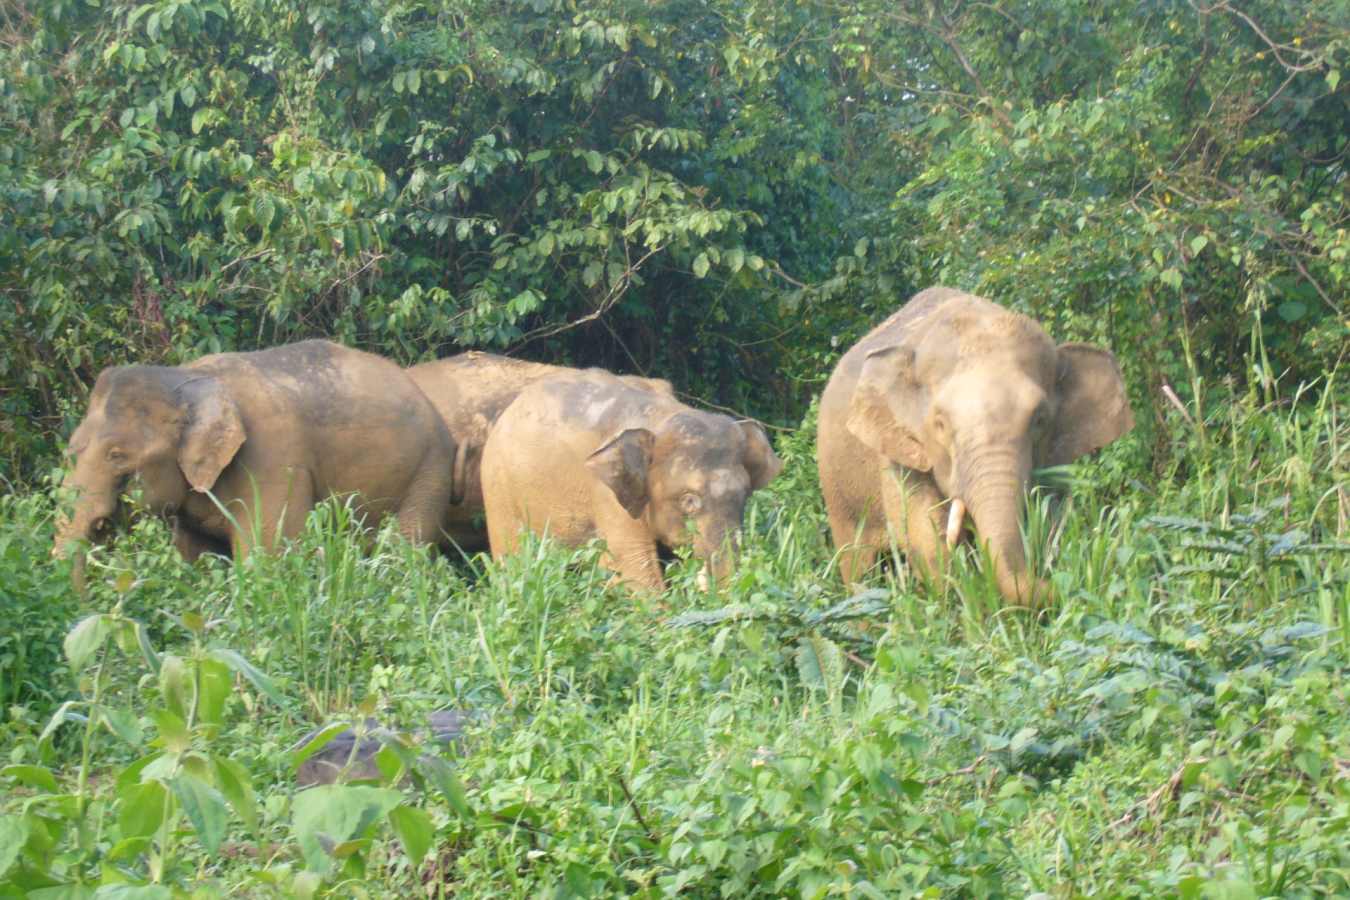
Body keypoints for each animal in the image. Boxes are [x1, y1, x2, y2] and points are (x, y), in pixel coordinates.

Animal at [53, 340, 457, 589]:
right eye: (72, 451)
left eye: (117, 456)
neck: (186, 381)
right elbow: (196, 556)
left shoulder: (274, 460)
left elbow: (268, 553)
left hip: (428, 473)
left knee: (404, 550)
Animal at [480, 370, 782, 591]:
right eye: (689, 501)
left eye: (744, 495)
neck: (661, 416)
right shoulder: (606, 494)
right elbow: (634, 568)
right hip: (498, 490)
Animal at [817, 287, 1133, 606]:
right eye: (940, 424)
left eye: (1040, 419)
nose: (1067, 586)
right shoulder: (900, 450)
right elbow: (925, 536)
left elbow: (1052, 515)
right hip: (837, 492)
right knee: (858, 564)